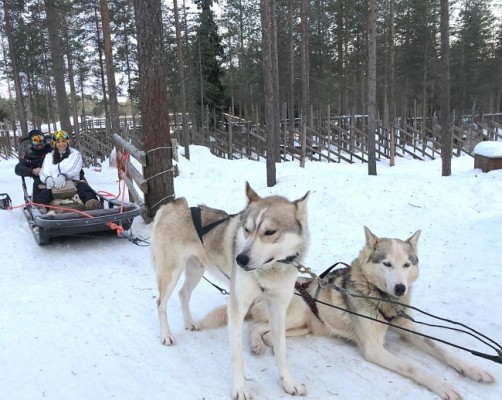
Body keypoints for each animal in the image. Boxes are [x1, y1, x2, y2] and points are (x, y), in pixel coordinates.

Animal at [151, 184, 310, 400]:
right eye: (247, 230)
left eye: (270, 232)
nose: (240, 259)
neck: (268, 271)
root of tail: (172, 205)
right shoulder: (236, 308)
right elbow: (237, 355)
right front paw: (240, 388)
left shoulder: (278, 308)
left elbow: (281, 350)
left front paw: (288, 383)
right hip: (171, 273)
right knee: (161, 303)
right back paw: (166, 335)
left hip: (196, 270)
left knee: (183, 294)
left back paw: (190, 323)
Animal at [200, 228, 494, 400]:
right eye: (387, 264)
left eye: (407, 265)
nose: (400, 288)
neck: (382, 300)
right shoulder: (373, 348)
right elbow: (415, 367)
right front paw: (443, 386)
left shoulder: (406, 328)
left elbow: (442, 349)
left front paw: (473, 369)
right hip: (295, 311)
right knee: (255, 327)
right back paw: (258, 345)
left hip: (306, 324)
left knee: (270, 332)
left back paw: (267, 343)